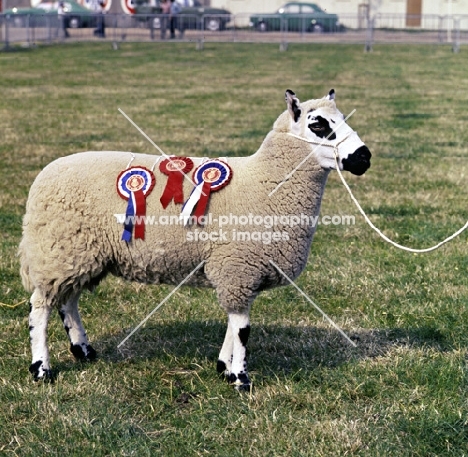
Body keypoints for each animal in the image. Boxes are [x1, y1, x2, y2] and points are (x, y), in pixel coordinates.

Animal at [18, 90, 372, 388]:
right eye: (319, 124)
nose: (364, 157)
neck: (266, 181)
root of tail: (44, 175)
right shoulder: (238, 266)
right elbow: (243, 328)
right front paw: (240, 379)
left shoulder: (238, 270)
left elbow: (233, 323)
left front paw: (224, 367)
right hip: (59, 248)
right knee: (40, 308)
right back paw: (42, 369)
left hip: (78, 253)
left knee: (68, 301)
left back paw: (83, 350)